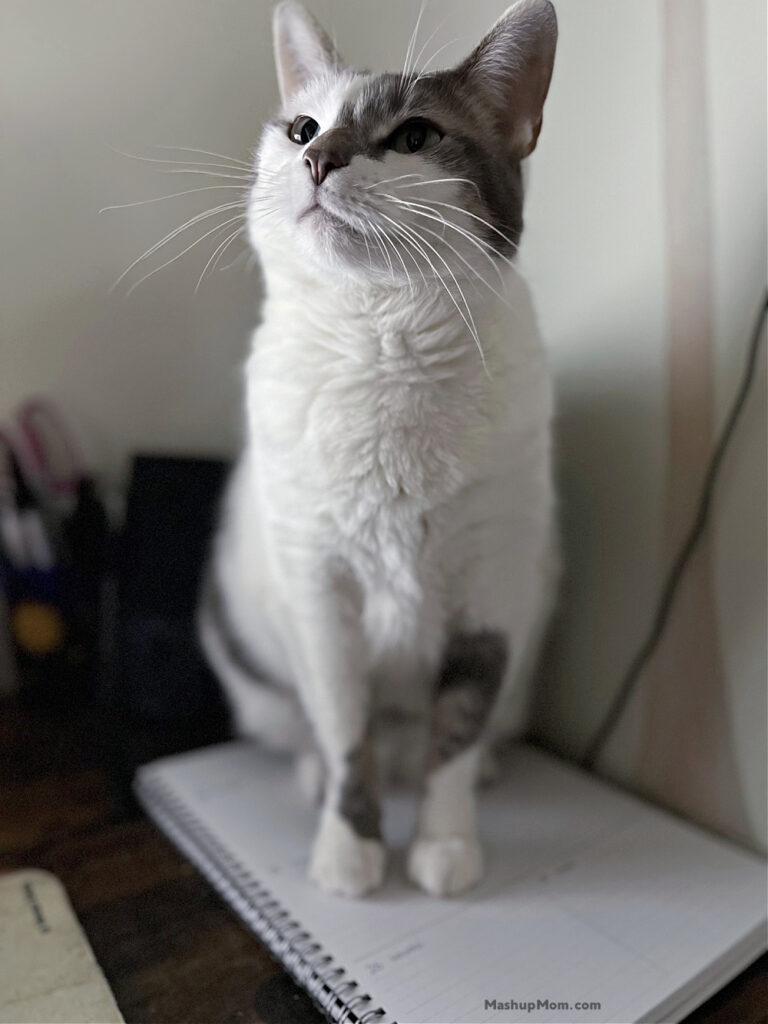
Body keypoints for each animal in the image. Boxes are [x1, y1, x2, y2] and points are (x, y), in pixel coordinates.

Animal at [198, 0, 561, 897]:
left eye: (415, 135)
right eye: (302, 127)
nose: (320, 157)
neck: (380, 345)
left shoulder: (493, 592)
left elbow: (457, 731)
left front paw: (445, 843)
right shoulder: (319, 599)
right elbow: (342, 731)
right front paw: (347, 850)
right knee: (317, 733)